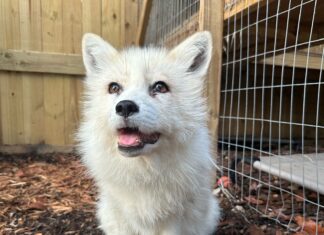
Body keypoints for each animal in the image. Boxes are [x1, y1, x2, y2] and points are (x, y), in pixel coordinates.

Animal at [77, 31, 220, 235]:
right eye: (114, 88)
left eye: (160, 87)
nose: (125, 106)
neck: (144, 171)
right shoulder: (124, 218)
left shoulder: (173, 221)